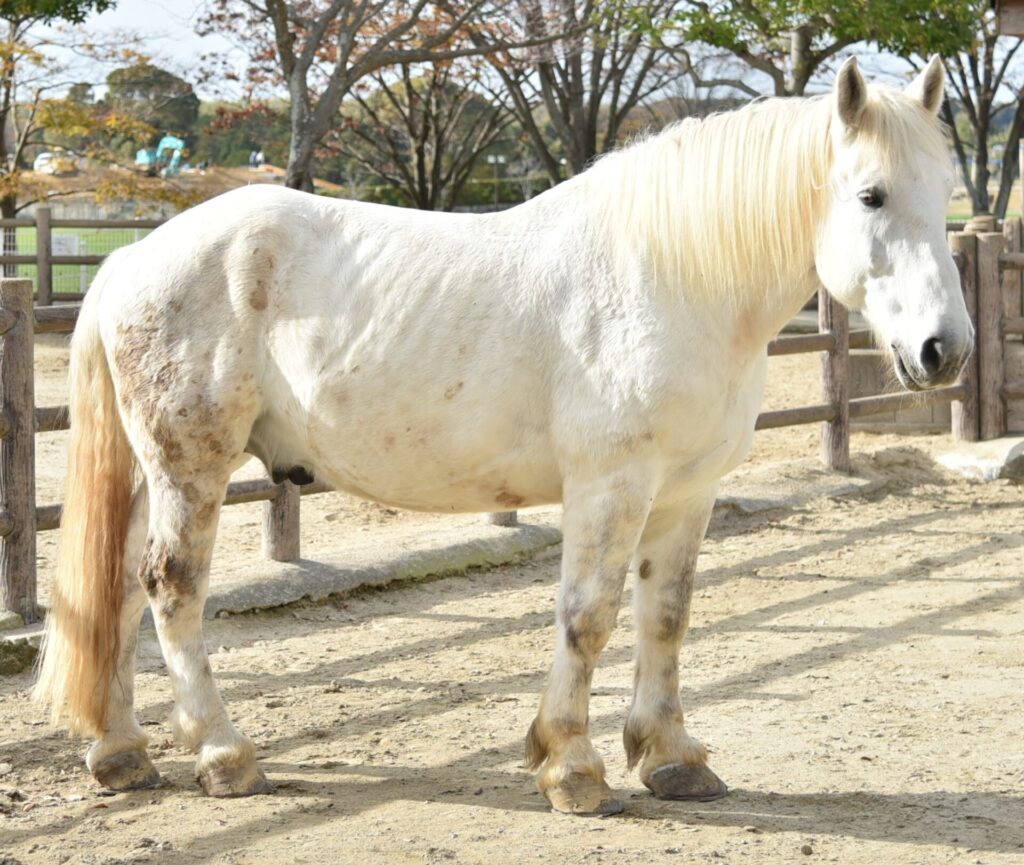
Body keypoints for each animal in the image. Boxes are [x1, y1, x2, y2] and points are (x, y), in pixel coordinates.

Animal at [34, 56, 971, 815]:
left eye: (944, 193)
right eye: (871, 195)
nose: (945, 349)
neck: (673, 276)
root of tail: (131, 259)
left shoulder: (686, 492)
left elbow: (666, 616)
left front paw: (672, 758)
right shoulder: (610, 486)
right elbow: (588, 616)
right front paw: (573, 768)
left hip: (154, 472)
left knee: (118, 591)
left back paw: (121, 754)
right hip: (192, 467)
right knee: (172, 590)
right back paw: (225, 755)